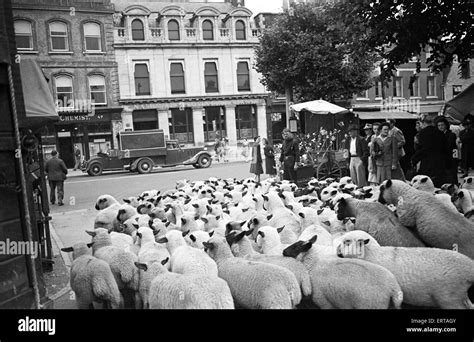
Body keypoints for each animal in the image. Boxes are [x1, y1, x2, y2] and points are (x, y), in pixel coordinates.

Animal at [336, 230, 474, 310]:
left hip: (449, 296)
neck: (374, 255)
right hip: (459, 295)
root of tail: (469, 266)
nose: (338, 253)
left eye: (347, 241)